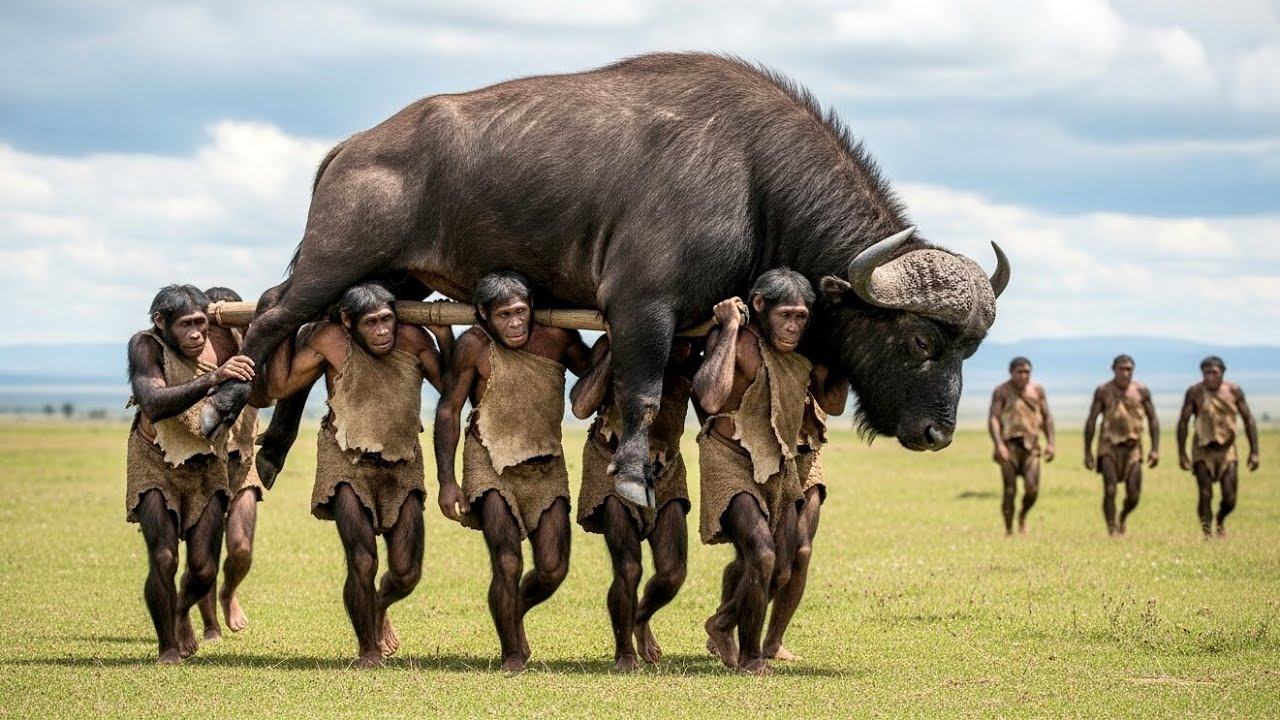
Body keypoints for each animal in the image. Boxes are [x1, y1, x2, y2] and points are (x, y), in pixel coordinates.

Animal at [201, 52, 1009, 505]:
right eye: (917, 343)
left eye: (968, 351)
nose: (938, 432)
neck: (752, 175)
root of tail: (351, 147)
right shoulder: (642, 305)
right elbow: (641, 392)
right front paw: (630, 478)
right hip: (338, 259)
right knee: (274, 316)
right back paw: (220, 410)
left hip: (393, 283)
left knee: (308, 327)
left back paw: (272, 448)